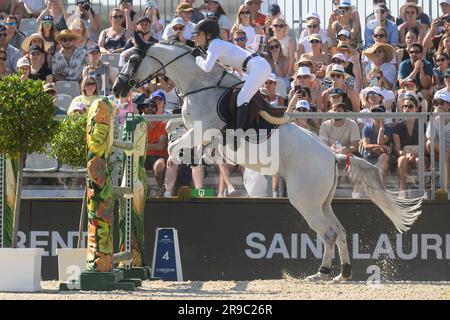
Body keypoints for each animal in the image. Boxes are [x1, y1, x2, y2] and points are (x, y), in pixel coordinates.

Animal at [113, 38, 422, 282]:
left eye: (133, 59)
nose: (117, 89)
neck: (200, 85)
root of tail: (332, 156)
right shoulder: (192, 126)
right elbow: (173, 127)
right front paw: (191, 153)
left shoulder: (203, 129)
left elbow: (176, 144)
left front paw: (186, 157)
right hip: (322, 201)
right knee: (340, 231)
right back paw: (341, 274)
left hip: (305, 200)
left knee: (328, 234)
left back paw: (320, 274)